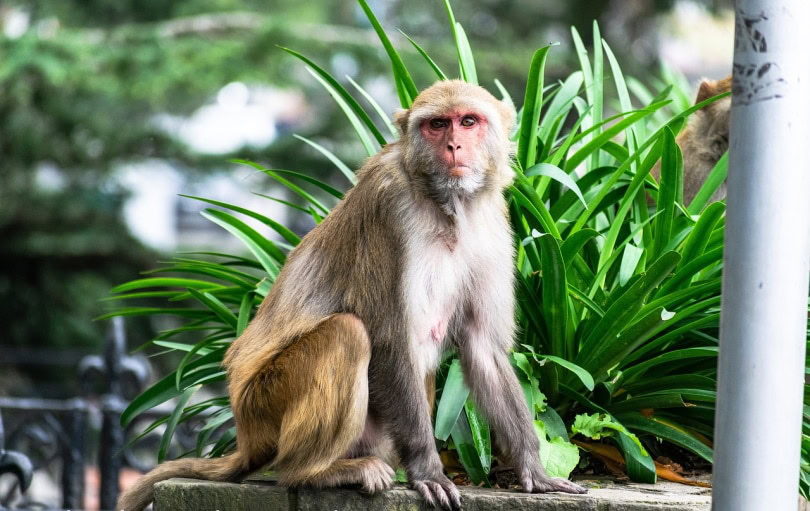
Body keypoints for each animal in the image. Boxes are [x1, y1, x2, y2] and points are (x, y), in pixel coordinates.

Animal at [116, 80, 587, 511]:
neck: (445, 205)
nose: (454, 144)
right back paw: (312, 472)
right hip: (263, 405)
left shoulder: (492, 220)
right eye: (437, 125)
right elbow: (388, 339)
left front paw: (534, 469)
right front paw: (428, 471)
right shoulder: (388, 205)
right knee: (347, 334)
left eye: (468, 122)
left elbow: (482, 347)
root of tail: (247, 436)